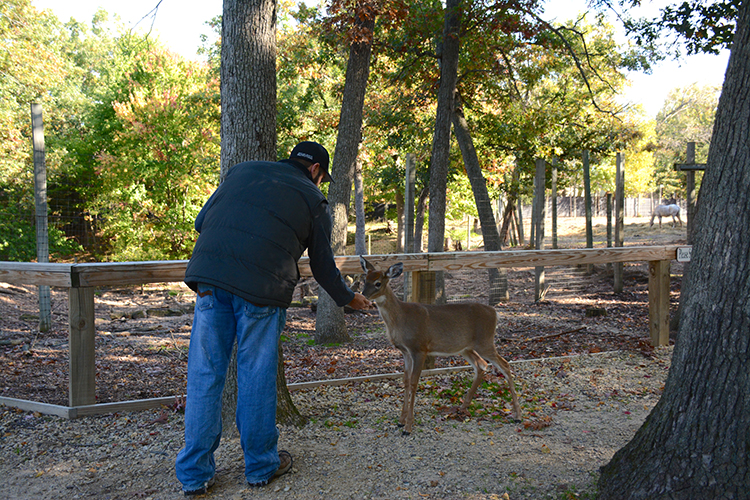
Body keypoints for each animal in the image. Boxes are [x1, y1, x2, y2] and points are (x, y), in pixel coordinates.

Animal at [360, 256, 522, 435]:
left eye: (378, 283)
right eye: (364, 279)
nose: (363, 295)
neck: (400, 318)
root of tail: (495, 313)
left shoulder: (420, 348)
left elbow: (414, 383)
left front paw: (408, 426)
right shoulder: (405, 351)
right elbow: (406, 381)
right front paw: (401, 421)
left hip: (485, 341)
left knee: (504, 364)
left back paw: (517, 415)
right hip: (466, 347)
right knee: (481, 365)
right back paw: (463, 406)